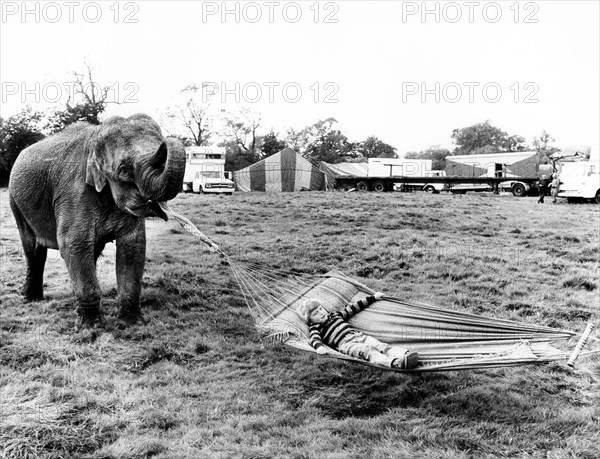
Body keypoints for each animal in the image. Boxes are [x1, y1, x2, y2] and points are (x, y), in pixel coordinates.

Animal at [8, 113, 185, 328]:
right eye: (123, 170)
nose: (168, 141)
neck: (96, 137)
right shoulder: (73, 193)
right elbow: (73, 244)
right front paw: (91, 327)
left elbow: (133, 246)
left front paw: (131, 323)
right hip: (15, 201)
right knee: (33, 248)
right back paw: (31, 299)